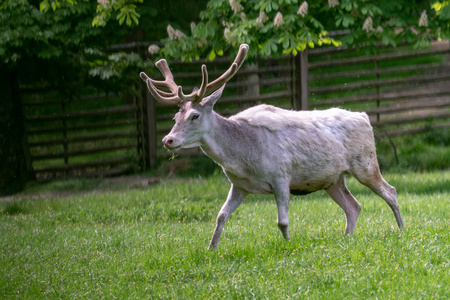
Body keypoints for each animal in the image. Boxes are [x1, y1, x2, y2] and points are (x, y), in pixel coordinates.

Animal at [139, 42, 402, 248]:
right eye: (176, 117)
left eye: (195, 115)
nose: (168, 140)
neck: (242, 158)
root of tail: (364, 117)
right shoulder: (239, 185)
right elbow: (220, 216)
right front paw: (211, 248)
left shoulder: (281, 175)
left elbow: (282, 221)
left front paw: (289, 245)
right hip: (332, 179)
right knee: (353, 206)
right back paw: (347, 238)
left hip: (365, 163)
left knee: (390, 191)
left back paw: (401, 230)